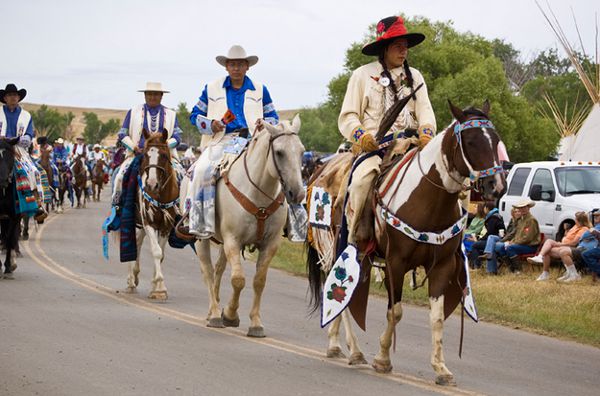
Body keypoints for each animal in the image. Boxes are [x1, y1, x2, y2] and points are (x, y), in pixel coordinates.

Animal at [126, 130, 180, 300]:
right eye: (145, 155)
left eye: (163, 155)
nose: (151, 185)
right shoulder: (149, 223)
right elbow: (156, 252)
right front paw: (160, 286)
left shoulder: (166, 226)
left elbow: (161, 255)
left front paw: (156, 286)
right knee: (132, 244)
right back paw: (130, 281)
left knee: (137, 243)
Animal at [184, 114, 308, 338]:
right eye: (279, 152)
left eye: (302, 151)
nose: (298, 193)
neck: (258, 194)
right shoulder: (233, 240)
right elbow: (238, 280)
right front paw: (230, 314)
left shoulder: (270, 244)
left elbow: (258, 281)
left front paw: (256, 324)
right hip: (201, 238)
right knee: (208, 271)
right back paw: (214, 313)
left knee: (218, 269)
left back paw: (214, 308)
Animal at [310, 100, 506, 386]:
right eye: (470, 142)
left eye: (496, 141)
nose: (497, 186)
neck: (428, 200)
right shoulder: (396, 263)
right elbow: (395, 312)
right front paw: (383, 359)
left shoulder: (442, 266)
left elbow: (437, 317)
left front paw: (441, 368)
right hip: (337, 247)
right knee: (339, 290)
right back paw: (354, 350)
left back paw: (336, 345)